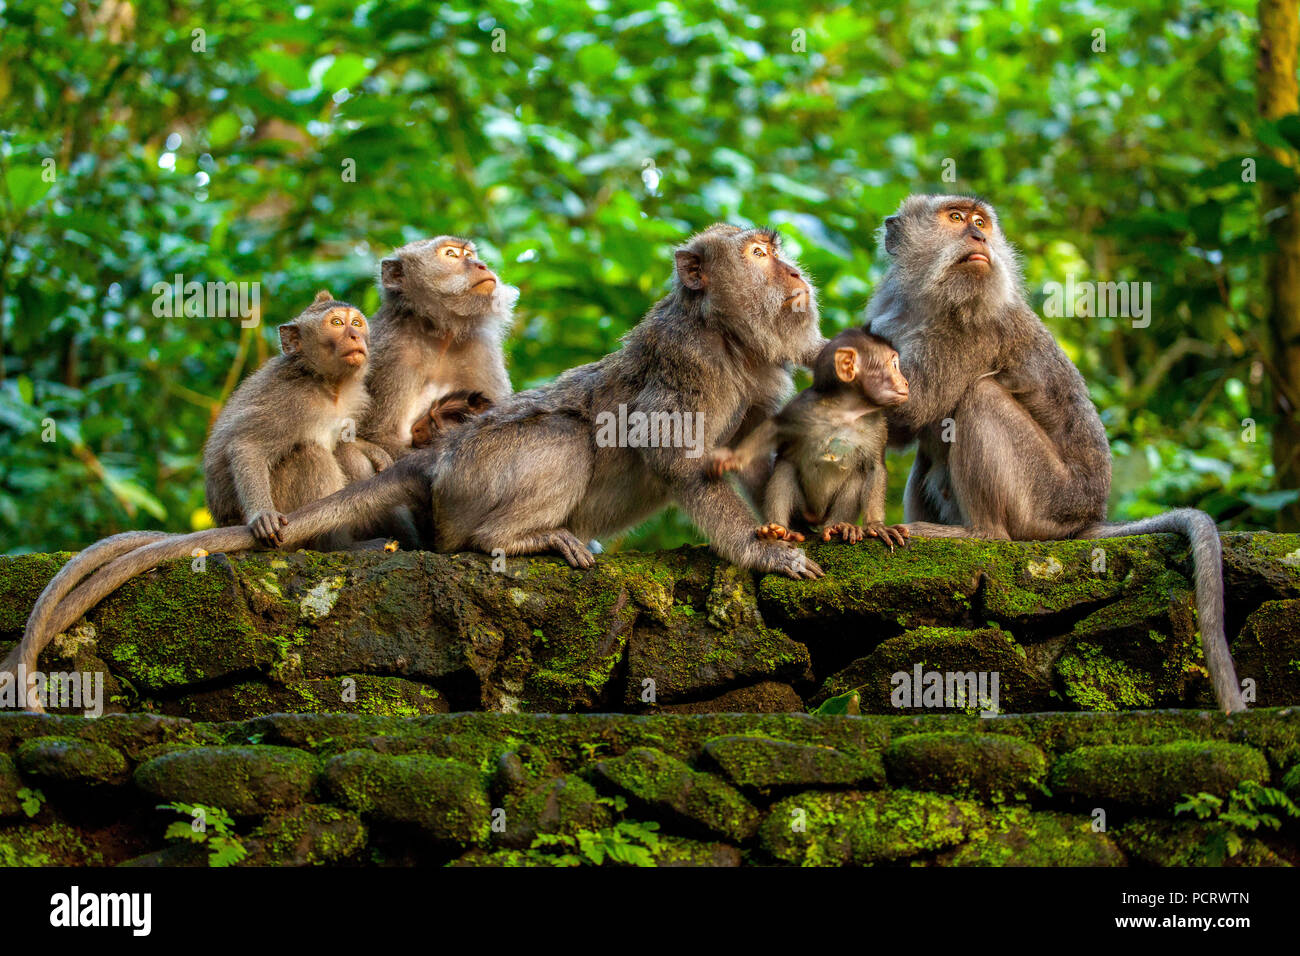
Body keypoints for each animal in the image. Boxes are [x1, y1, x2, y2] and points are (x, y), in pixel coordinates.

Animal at [707, 330, 909, 546]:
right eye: (894, 365)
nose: (905, 382)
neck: (846, 411)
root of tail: (816, 517)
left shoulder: (877, 426)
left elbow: (874, 468)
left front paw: (876, 525)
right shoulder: (804, 405)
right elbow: (776, 425)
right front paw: (732, 459)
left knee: (857, 476)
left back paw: (839, 526)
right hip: (801, 508)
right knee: (785, 467)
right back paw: (779, 529)